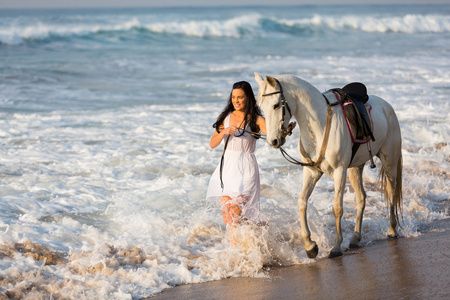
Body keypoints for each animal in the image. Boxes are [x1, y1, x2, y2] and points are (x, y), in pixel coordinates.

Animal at [255, 72, 402, 258]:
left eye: (275, 105)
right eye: (260, 107)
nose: (273, 141)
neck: (320, 125)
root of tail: (387, 106)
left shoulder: (339, 171)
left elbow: (337, 208)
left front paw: (336, 247)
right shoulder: (311, 172)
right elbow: (302, 202)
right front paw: (310, 246)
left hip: (389, 161)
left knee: (391, 191)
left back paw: (392, 230)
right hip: (355, 168)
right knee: (361, 197)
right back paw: (355, 238)